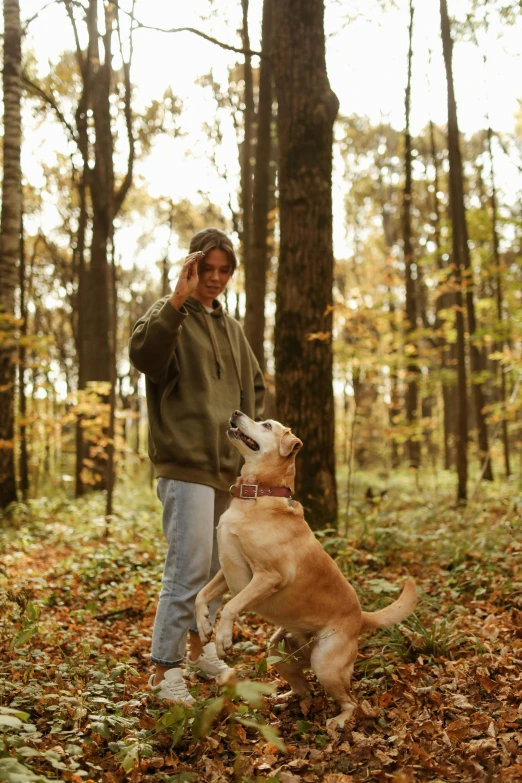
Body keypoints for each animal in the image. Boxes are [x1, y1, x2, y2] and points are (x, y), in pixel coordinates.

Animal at [196, 414, 418, 724]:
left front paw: (223, 638)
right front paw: (204, 626)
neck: (258, 494)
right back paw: (282, 701)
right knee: (304, 690)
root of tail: (361, 617)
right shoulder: (228, 574)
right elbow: (201, 596)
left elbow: (230, 607)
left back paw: (338, 721)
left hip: (324, 663)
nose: (236, 413)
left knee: (350, 702)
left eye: (266, 425)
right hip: (278, 651)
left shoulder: (268, 576)